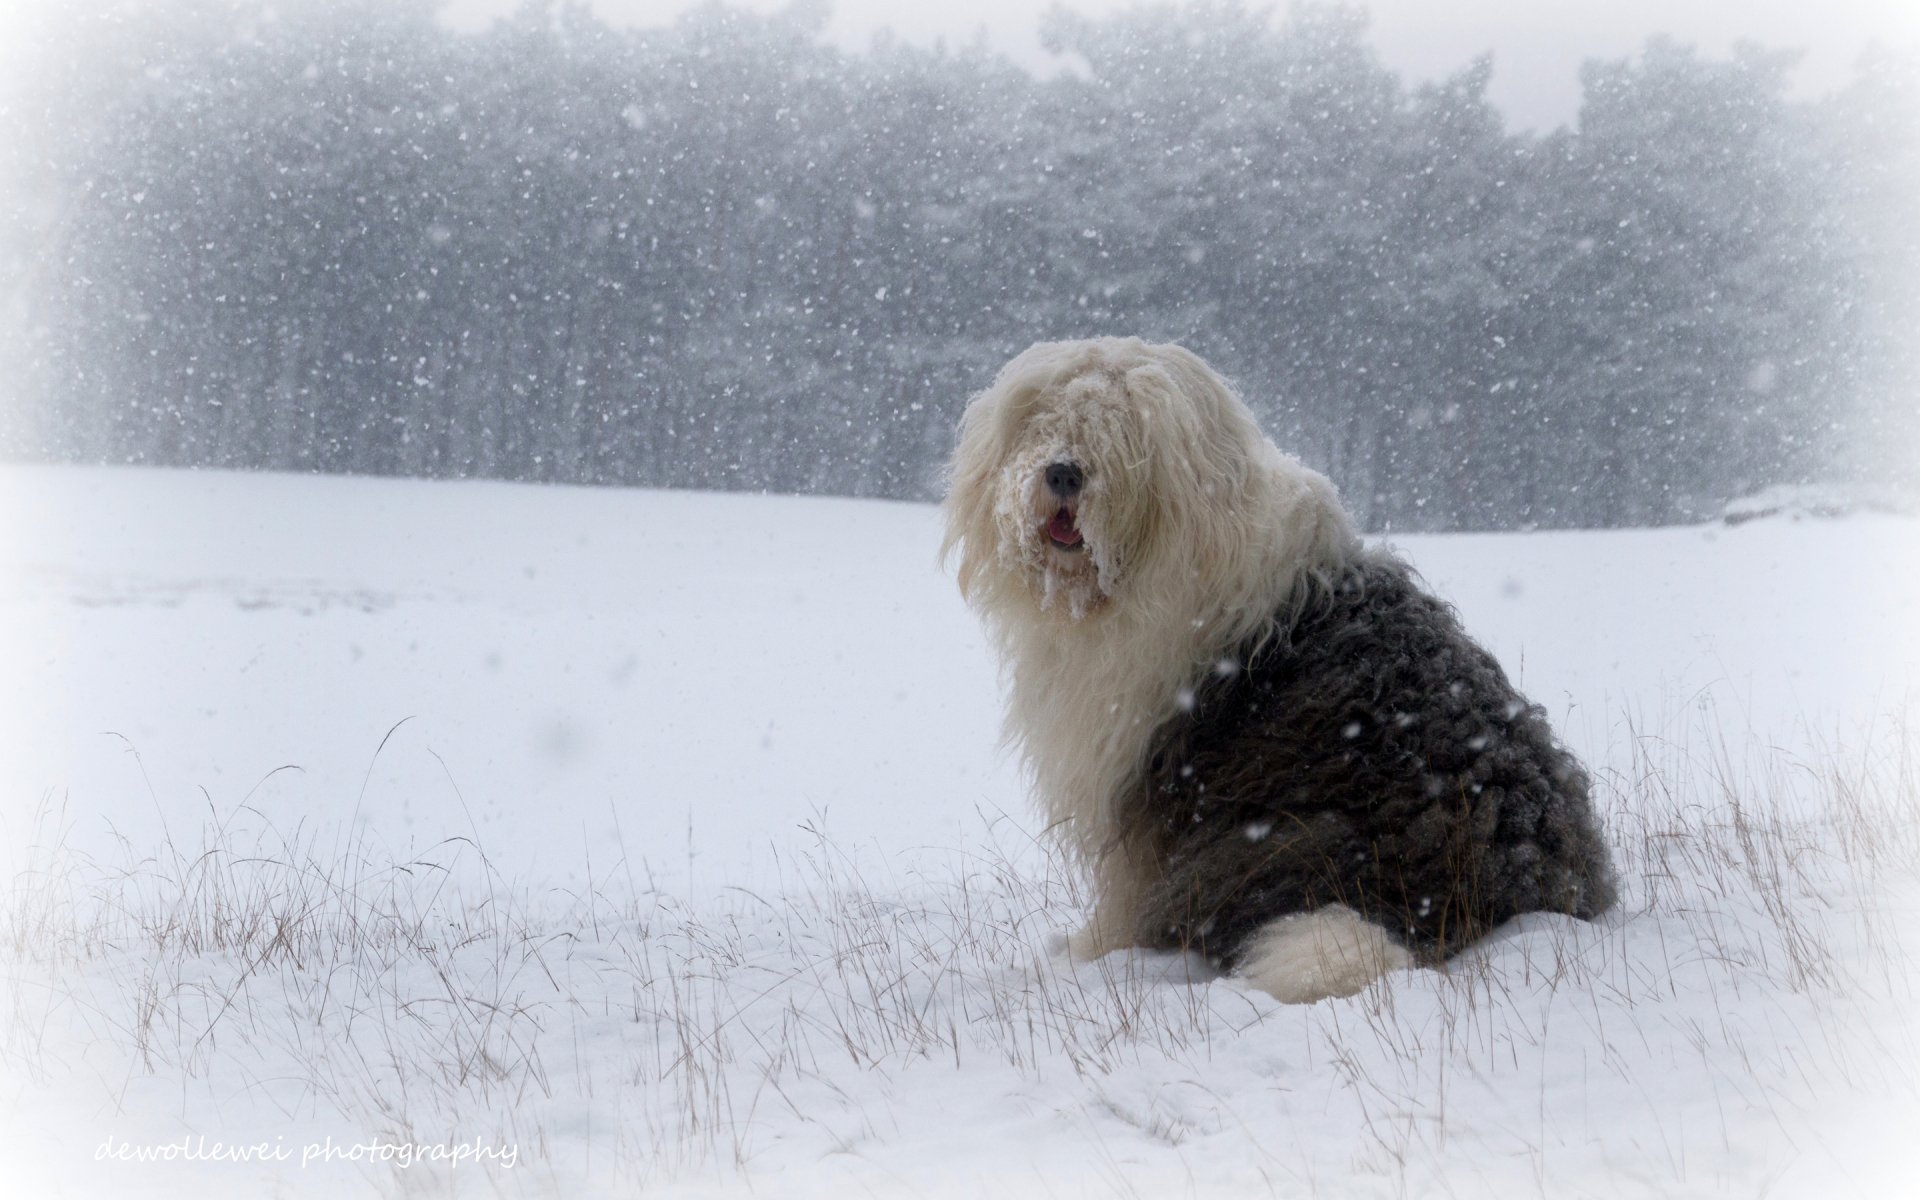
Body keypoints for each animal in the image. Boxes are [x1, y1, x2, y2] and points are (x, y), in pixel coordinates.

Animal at [944, 337, 1620, 998]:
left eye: (1121, 429)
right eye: (1042, 419)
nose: (1063, 472)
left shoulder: (1147, 772)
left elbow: (1129, 878)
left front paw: (1094, 949)